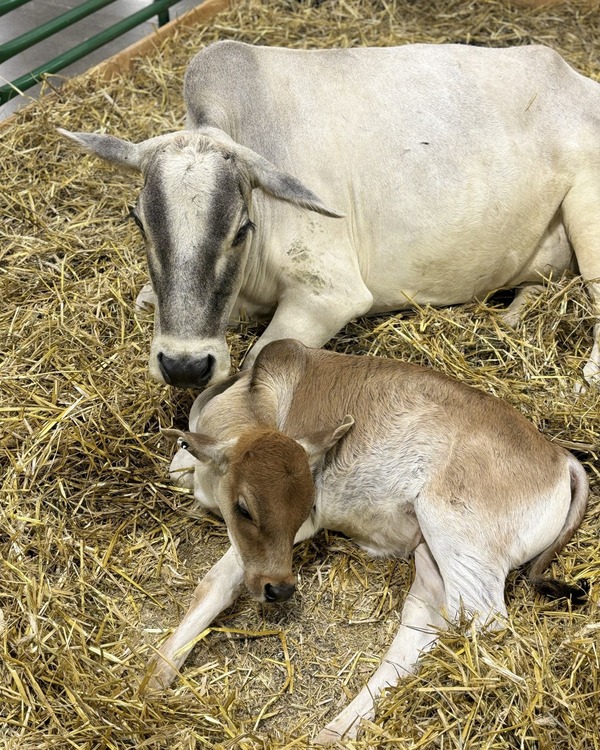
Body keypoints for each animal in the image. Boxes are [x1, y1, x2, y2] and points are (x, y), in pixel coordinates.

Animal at [58, 41, 600, 388]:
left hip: (588, 214)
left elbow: (256, 362)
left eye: (241, 230)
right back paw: (510, 317)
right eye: (140, 224)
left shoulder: (330, 294)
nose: (185, 367)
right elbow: (144, 300)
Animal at [148, 340, 588, 748]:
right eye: (243, 507)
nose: (281, 589)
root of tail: (559, 455)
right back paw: (335, 730)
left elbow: (216, 584)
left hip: (459, 535)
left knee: (483, 621)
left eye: (305, 507)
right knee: (424, 626)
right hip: (431, 555)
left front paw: (157, 672)